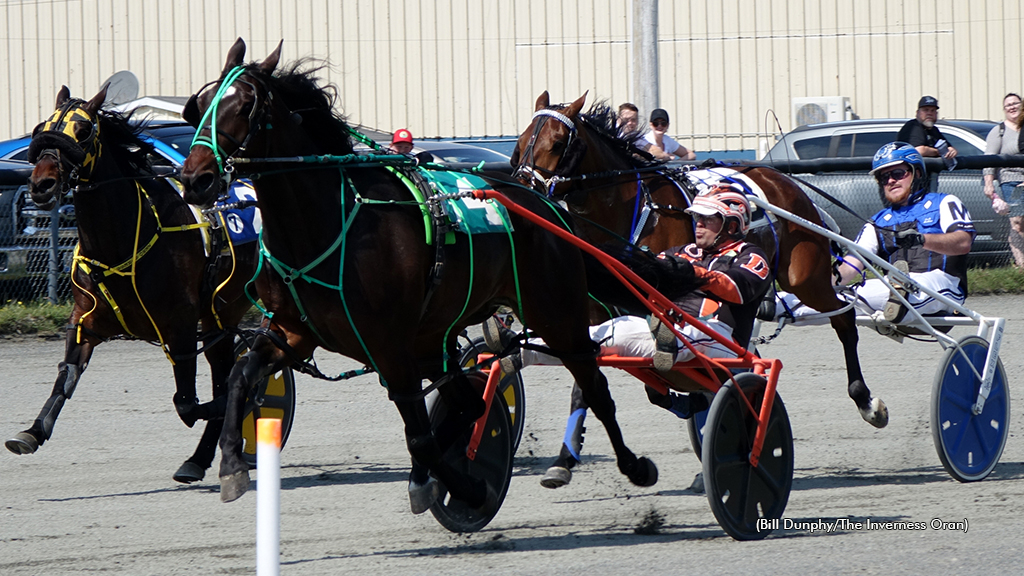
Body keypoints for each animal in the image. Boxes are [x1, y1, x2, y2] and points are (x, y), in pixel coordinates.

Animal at [5, 85, 260, 481]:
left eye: (83, 131)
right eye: (41, 128)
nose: (41, 184)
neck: (123, 241)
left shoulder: (181, 324)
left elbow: (187, 403)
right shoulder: (85, 319)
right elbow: (66, 375)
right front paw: (33, 431)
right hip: (219, 315)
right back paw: (198, 458)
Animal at [178, 40, 704, 516]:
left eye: (246, 104)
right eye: (200, 106)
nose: (194, 179)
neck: (329, 223)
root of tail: (547, 207)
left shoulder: (389, 346)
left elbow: (419, 435)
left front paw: (467, 488)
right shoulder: (292, 332)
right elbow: (240, 380)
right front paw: (230, 464)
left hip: (555, 314)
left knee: (593, 386)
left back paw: (635, 463)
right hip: (435, 338)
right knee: (470, 403)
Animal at [516, 90, 884, 479]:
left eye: (557, 144)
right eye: (521, 142)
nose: (524, 189)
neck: (632, 211)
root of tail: (781, 178)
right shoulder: (593, 315)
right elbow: (587, 382)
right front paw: (564, 460)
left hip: (805, 277)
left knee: (843, 320)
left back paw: (865, 400)